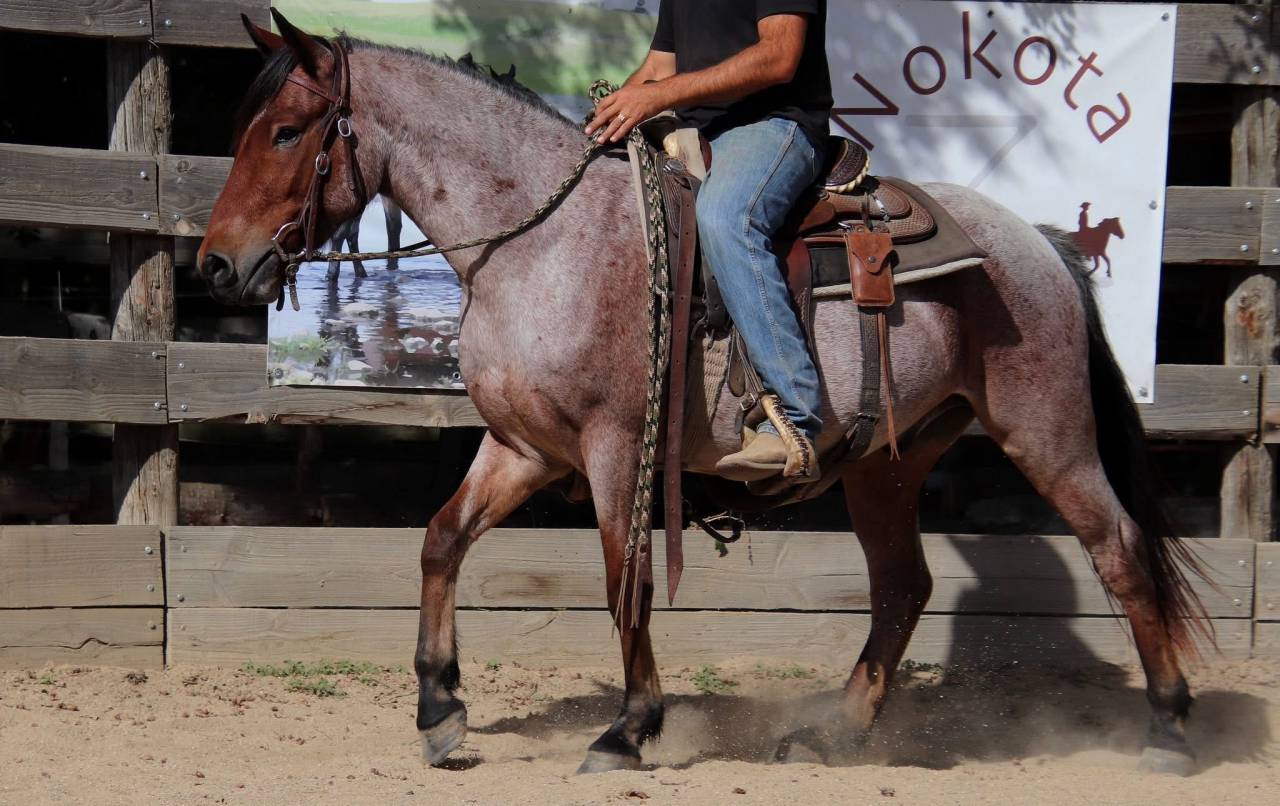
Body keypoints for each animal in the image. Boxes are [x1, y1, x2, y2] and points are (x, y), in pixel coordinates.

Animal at [198, 11, 1210, 776]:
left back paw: (1168, 726)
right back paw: (838, 731)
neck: (541, 239)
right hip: (888, 461)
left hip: (1047, 430)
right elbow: (442, 540)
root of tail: (1038, 242)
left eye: (286, 131)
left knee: (1119, 551)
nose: (215, 266)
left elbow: (627, 579)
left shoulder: (616, 446)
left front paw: (627, 728)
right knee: (903, 586)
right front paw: (439, 708)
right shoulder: (524, 446)